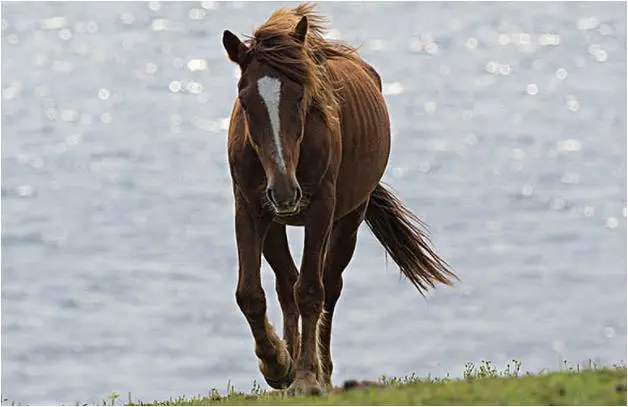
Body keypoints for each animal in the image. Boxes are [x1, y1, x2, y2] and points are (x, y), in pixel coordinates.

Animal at [221, 3, 456, 396]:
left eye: (301, 97)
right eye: (245, 101)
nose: (284, 191)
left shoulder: (321, 210)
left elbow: (311, 291)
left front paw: (306, 377)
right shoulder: (250, 209)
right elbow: (251, 294)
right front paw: (277, 365)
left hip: (348, 220)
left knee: (328, 287)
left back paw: (323, 372)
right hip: (275, 223)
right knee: (286, 285)